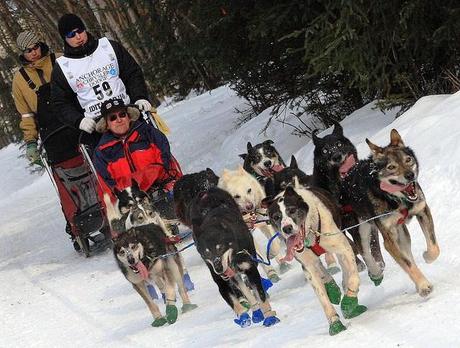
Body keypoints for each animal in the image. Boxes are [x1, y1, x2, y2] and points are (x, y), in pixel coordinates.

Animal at [344, 129, 440, 298]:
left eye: (408, 160)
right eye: (392, 167)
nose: (410, 175)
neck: (397, 200)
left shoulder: (422, 210)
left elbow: (434, 247)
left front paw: (427, 256)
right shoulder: (388, 240)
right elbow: (407, 263)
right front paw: (424, 286)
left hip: (401, 235)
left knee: (408, 255)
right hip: (362, 229)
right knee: (365, 252)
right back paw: (375, 272)